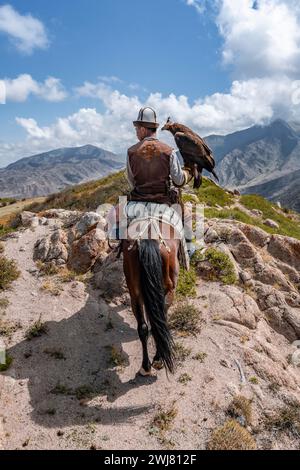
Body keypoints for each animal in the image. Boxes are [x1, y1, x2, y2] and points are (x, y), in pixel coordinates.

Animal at [122, 222, 180, 376]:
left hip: (135, 292)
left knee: (144, 327)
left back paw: (146, 366)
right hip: (169, 289)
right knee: (160, 323)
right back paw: (158, 359)